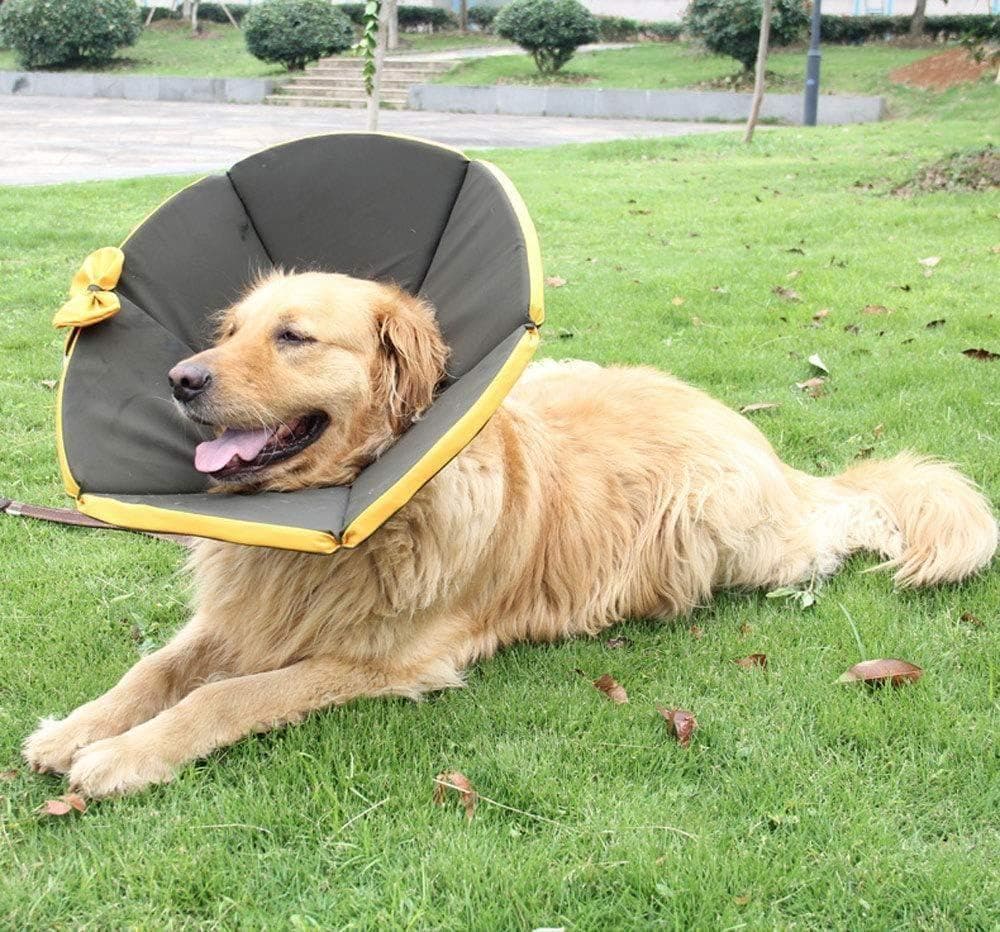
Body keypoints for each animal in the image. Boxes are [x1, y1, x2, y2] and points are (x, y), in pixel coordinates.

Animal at [24, 270, 998, 797]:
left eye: (294, 337)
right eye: (229, 331)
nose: (180, 379)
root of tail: (745, 431)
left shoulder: (387, 660)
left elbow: (225, 697)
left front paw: (123, 757)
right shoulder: (240, 616)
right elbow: (158, 670)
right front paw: (78, 728)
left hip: (718, 526)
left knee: (838, 521)